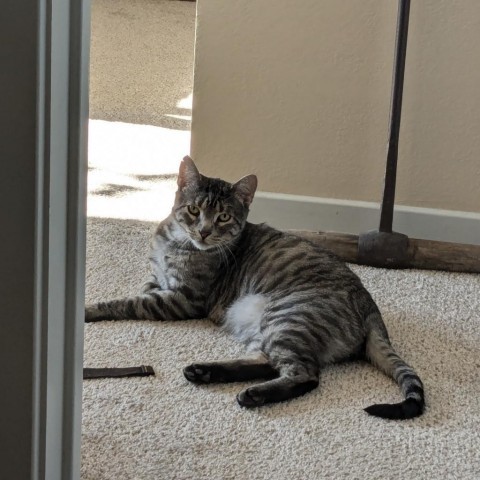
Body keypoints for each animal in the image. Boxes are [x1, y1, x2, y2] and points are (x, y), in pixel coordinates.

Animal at [86, 156, 424, 418]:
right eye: (194, 210)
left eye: (223, 216)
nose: (204, 232)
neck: (175, 242)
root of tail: (370, 308)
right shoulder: (157, 280)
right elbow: (142, 290)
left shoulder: (183, 299)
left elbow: (126, 302)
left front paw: (90, 309)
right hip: (267, 326)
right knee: (268, 363)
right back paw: (204, 372)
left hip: (288, 316)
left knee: (305, 374)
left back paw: (251, 394)